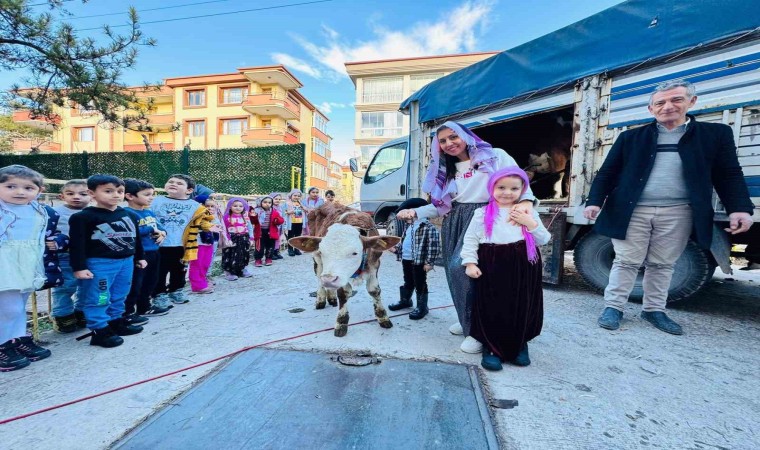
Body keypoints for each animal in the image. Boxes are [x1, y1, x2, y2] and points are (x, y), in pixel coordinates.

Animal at [288, 204, 400, 338]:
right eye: (322, 251)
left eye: (354, 253)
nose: (328, 280)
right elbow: (343, 294)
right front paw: (341, 322)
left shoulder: (375, 263)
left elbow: (374, 290)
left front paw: (383, 317)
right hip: (317, 260)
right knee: (319, 275)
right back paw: (321, 299)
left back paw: (331, 297)